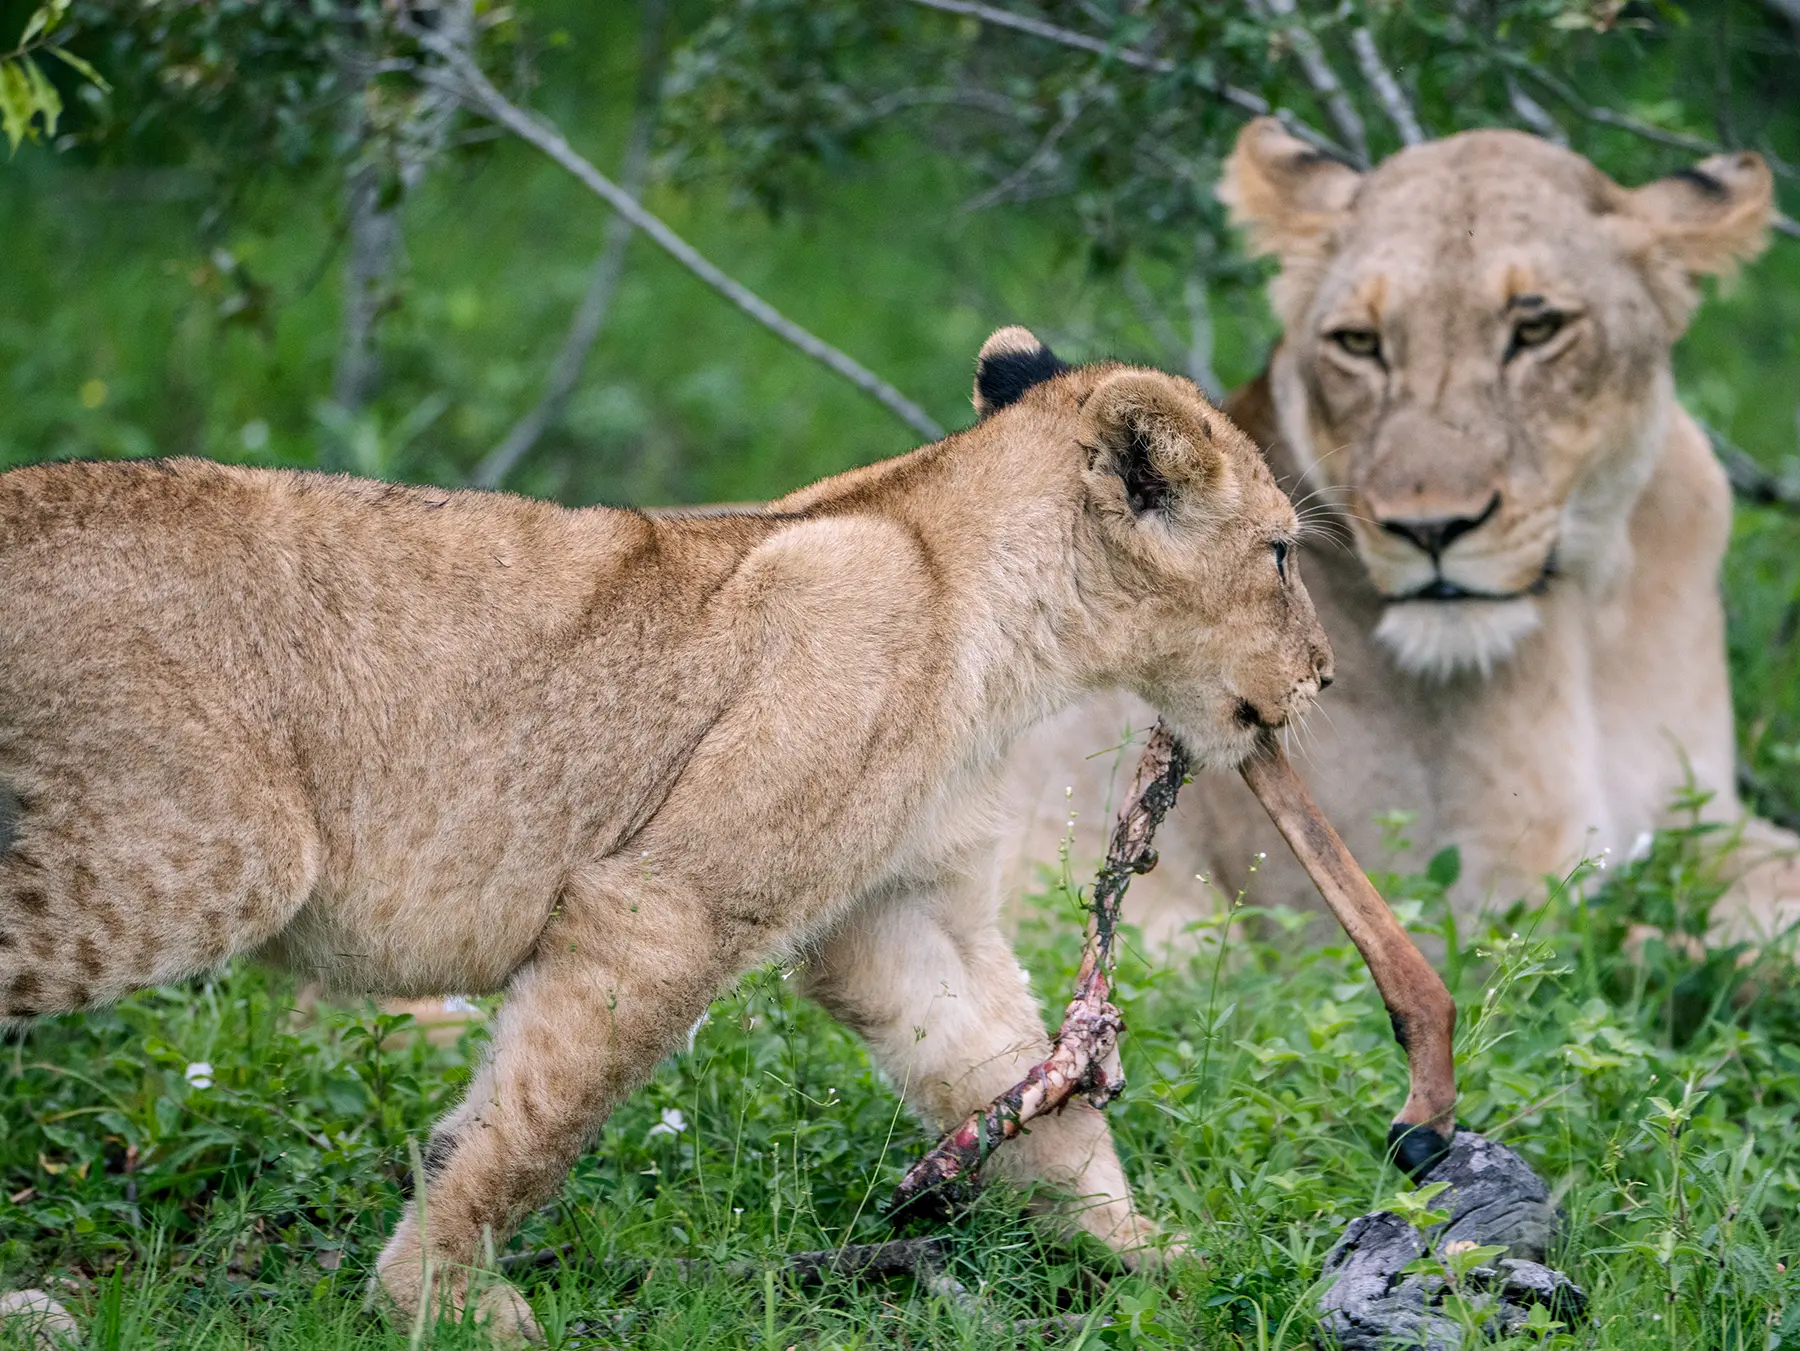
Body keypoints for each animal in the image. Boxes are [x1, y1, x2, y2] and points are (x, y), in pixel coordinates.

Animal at [0, 329, 1329, 1340]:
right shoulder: (667, 903)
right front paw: (440, 1298)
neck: (996, 625)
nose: (1320, 673)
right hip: (221, 850)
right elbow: (532, 1121)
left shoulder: (900, 916)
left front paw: (1164, 1258)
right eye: (1279, 553)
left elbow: (1021, 1096)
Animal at [1003, 121, 1798, 948]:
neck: (1587, 619)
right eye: (1359, 342)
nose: (1431, 528)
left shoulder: (1706, 818)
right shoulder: (1473, 893)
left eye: (1537, 329)